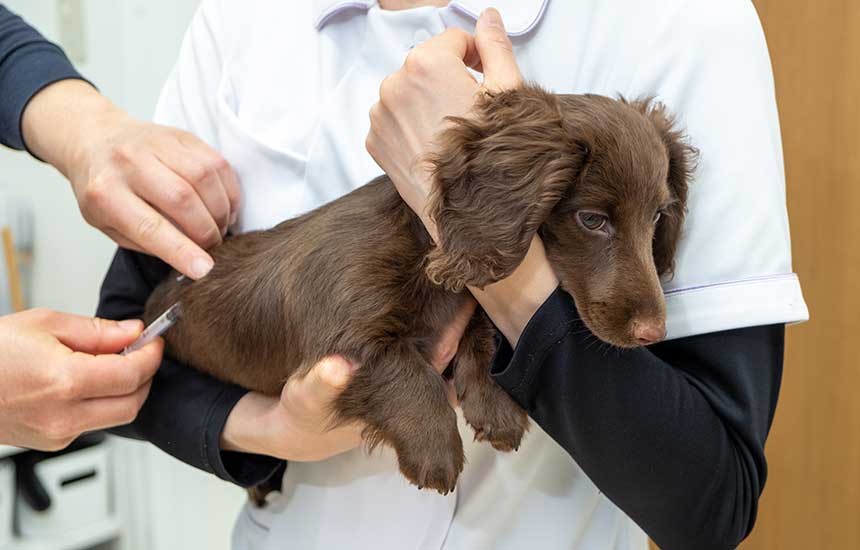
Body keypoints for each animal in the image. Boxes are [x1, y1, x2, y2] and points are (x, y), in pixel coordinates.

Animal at [146, 85, 700, 500]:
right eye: (591, 220)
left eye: (657, 216)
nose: (655, 332)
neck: (426, 250)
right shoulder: (347, 335)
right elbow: (406, 373)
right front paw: (436, 453)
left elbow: (480, 332)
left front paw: (494, 407)